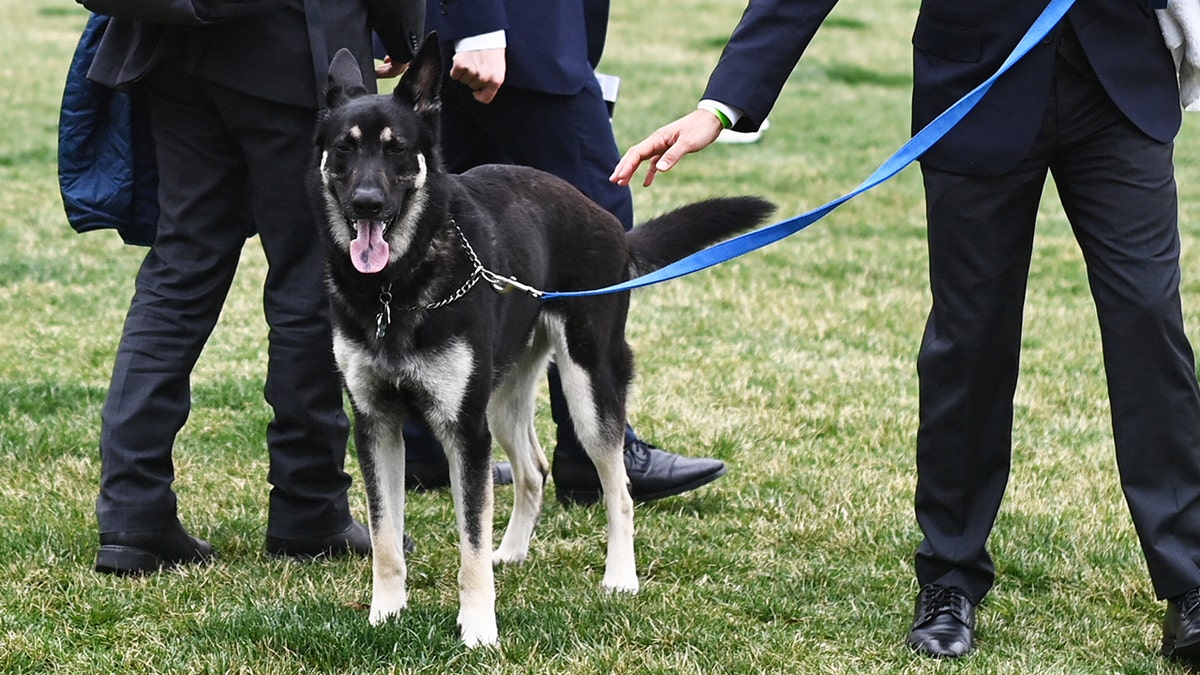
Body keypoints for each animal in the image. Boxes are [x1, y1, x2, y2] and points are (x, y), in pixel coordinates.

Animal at [314, 38, 772, 648]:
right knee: (533, 469)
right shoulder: (377, 424)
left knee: (618, 490)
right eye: (344, 148)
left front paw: (478, 629)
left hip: (587, 387)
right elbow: (388, 539)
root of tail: (610, 224)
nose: (366, 203)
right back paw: (513, 552)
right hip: (503, 397)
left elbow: (470, 543)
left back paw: (620, 578)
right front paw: (385, 615)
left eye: (398, 150)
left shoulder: (464, 431)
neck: (398, 286)